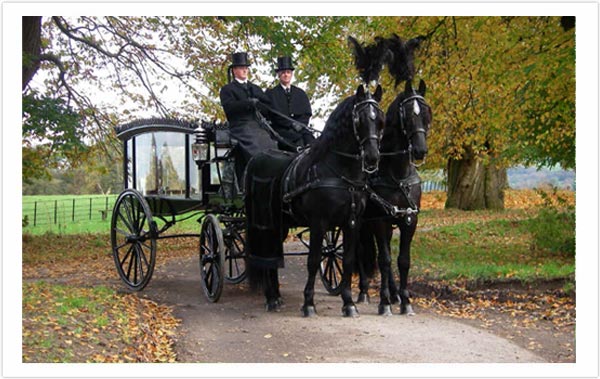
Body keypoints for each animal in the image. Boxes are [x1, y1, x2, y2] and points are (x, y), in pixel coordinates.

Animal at [244, 83, 384, 318]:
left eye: (380, 120)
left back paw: (276, 296)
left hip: (280, 225)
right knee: (266, 255)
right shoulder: (319, 223)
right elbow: (313, 260)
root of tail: (256, 158)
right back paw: (271, 297)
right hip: (265, 224)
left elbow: (347, 260)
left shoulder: (351, 223)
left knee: (272, 257)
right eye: (360, 120)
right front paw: (308, 303)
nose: (372, 157)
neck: (340, 173)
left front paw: (348, 303)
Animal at [356, 78, 432, 316]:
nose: (420, 150)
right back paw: (363, 291)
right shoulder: (379, 220)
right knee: (361, 252)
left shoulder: (409, 219)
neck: (397, 176)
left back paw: (394, 293)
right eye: (407, 115)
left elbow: (402, 260)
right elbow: (385, 259)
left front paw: (405, 301)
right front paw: (384, 302)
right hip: (362, 223)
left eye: (427, 113)